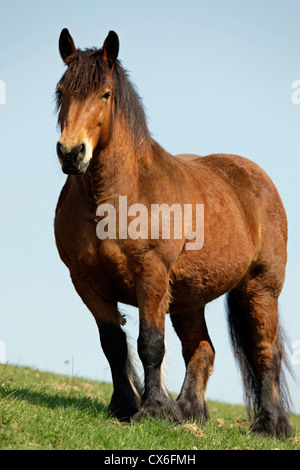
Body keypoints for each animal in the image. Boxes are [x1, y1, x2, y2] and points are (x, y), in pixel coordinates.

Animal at [54, 28, 292, 436]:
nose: (72, 153)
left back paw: (269, 425)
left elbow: (150, 343)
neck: (113, 198)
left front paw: (152, 410)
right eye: (61, 89)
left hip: (260, 288)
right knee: (202, 349)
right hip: (188, 298)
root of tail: (254, 177)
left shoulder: (150, 274)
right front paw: (124, 406)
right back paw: (188, 411)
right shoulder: (86, 281)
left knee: (266, 350)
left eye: (105, 94)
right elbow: (113, 343)